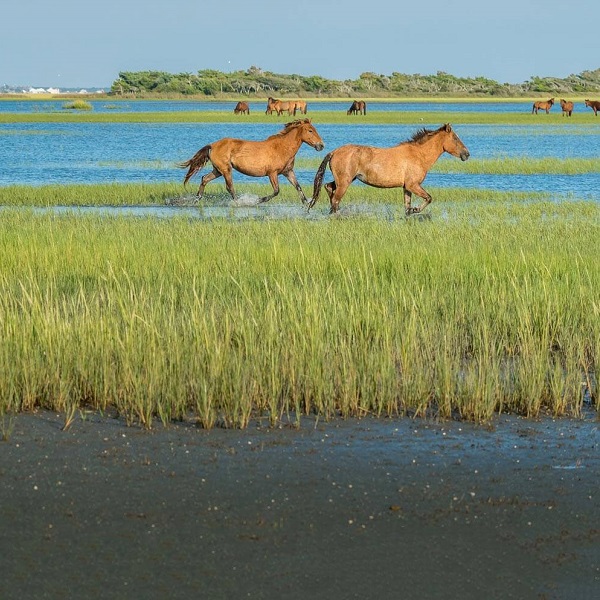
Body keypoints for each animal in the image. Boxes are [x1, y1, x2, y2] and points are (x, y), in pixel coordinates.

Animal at [179, 118, 324, 205]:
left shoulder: (288, 172)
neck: (282, 148)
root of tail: (213, 145)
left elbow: (298, 187)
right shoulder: (272, 173)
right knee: (229, 187)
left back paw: (197, 199)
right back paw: (239, 202)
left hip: (218, 170)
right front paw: (259, 200)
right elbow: (276, 191)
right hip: (226, 170)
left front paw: (307, 203)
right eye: (310, 130)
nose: (321, 146)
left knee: (204, 179)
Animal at [310, 122, 468, 216]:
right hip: (345, 182)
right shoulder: (413, 185)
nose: (466, 154)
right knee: (335, 199)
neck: (419, 155)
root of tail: (334, 152)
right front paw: (416, 209)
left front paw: (411, 211)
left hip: (347, 179)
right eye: (455, 138)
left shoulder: (407, 187)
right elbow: (428, 198)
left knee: (329, 188)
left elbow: (407, 206)